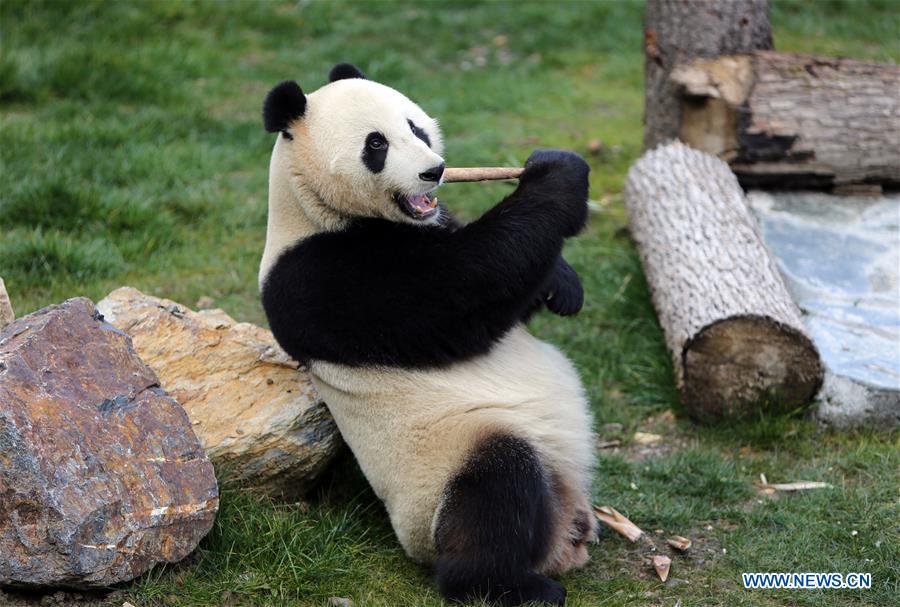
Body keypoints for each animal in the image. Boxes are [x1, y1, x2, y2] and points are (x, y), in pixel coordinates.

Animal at [259, 63, 596, 606]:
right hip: (444, 469)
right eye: (376, 144)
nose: (433, 172)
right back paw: (515, 585)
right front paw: (558, 174)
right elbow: (462, 289)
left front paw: (564, 286)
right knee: (497, 490)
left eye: (416, 127)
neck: (307, 201)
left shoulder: (431, 223)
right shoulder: (320, 276)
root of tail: (562, 535)